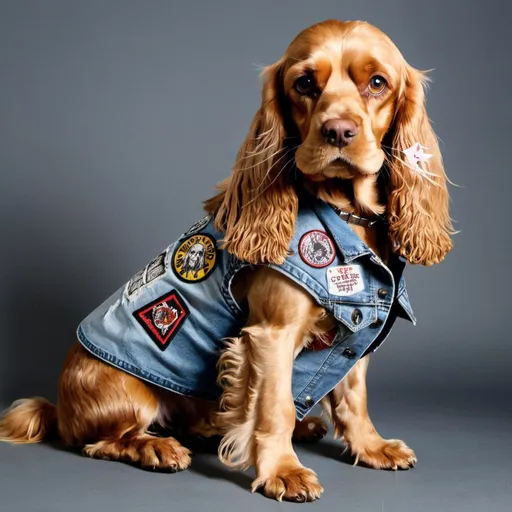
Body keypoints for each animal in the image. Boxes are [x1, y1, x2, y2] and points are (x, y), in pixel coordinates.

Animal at [2, 19, 454, 500]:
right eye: (305, 83)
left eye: (377, 83)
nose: (338, 132)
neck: (345, 212)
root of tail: (59, 408)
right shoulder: (272, 333)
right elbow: (275, 406)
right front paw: (282, 471)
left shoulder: (359, 326)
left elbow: (353, 395)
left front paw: (371, 447)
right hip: (128, 393)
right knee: (101, 441)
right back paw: (156, 447)